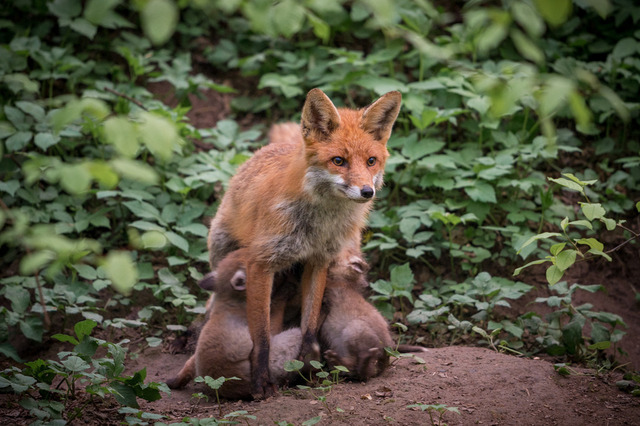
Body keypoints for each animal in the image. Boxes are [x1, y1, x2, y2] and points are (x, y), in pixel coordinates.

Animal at [207, 88, 402, 398]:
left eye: (371, 161)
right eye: (338, 161)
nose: (367, 192)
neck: (318, 224)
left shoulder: (319, 261)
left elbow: (309, 327)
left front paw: (308, 367)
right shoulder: (260, 263)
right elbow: (261, 336)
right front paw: (261, 381)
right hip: (220, 247)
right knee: (211, 298)